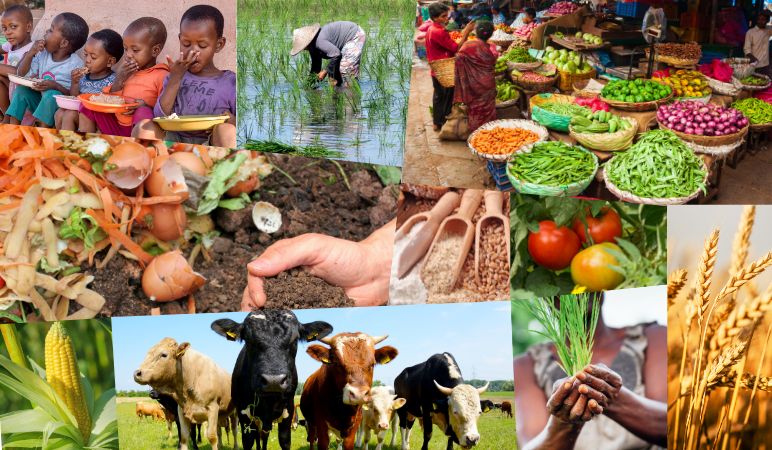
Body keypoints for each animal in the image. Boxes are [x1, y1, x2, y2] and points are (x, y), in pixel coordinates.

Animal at [211, 310, 332, 450]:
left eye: (295, 340)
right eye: (248, 340)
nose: (273, 381)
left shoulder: (288, 412)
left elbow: (284, 440)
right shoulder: (244, 415)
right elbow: (249, 441)